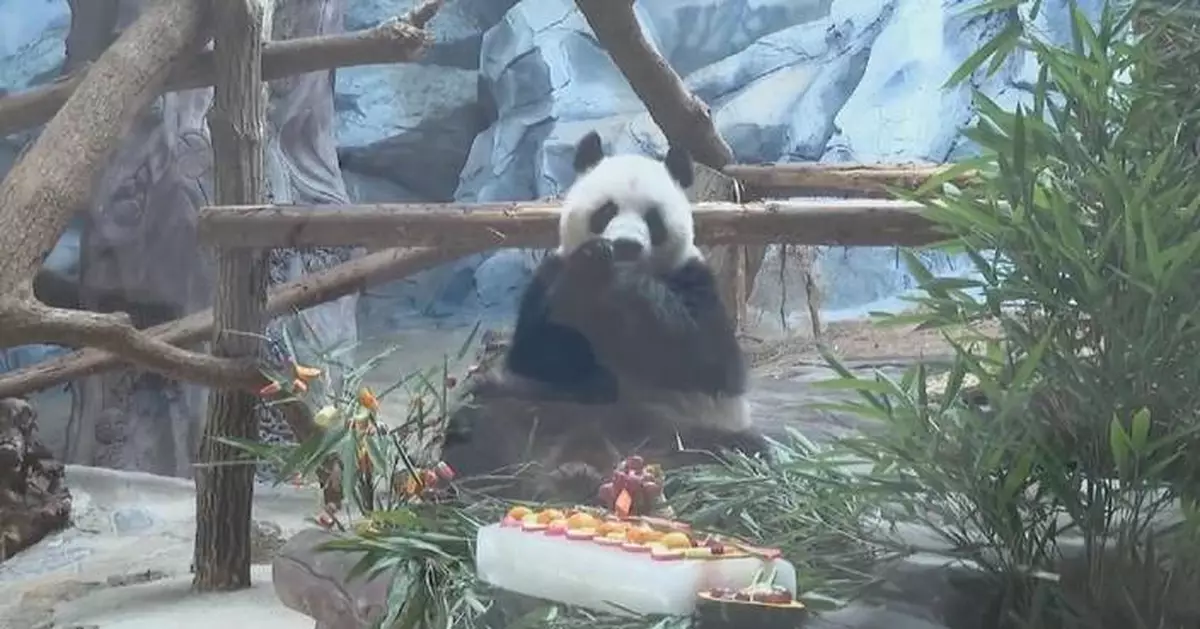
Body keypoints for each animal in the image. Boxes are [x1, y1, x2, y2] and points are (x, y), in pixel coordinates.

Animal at [442, 131, 768, 501]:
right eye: (607, 210)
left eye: (653, 218)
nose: (625, 245)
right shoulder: (549, 278)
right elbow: (536, 355)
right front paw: (591, 264)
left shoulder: (694, 281)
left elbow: (709, 363)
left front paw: (628, 283)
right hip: (534, 420)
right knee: (479, 418)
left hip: (685, 433)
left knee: (736, 452)